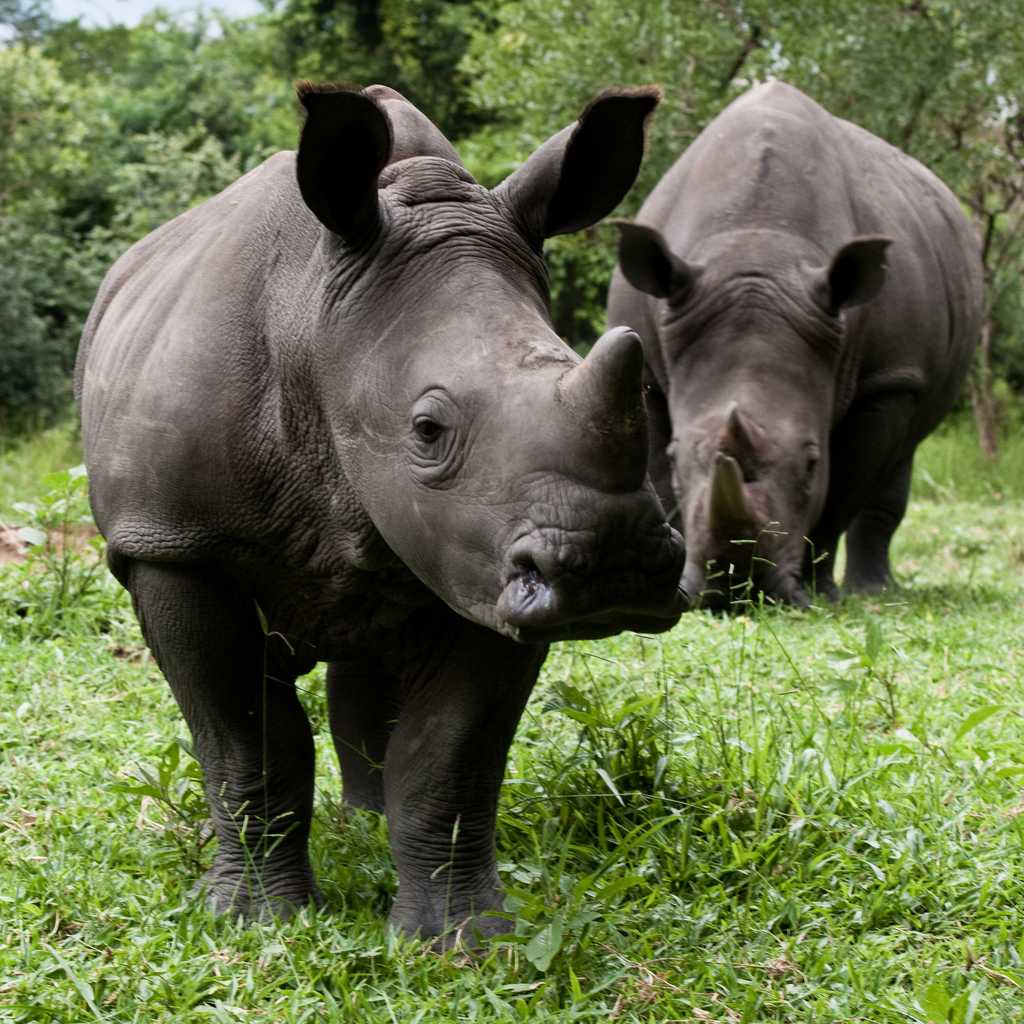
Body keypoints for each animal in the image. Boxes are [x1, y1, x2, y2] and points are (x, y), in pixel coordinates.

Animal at [75, 83, 686, 945]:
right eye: (426, 430)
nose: (614, 566)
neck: (316, 323)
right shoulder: (173, 542)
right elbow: (245, 741)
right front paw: (255, 923)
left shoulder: (482, 557)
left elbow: (449, 760)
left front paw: (461, 942)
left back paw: (362, 828)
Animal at [608, 81, 982, 608]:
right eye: (679, 458)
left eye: (810, 463)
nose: (736, 591)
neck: (757, 244)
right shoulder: (646, 373)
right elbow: (659, 480)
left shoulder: (885, 378)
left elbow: (842, 489)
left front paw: (820, 593)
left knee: (903, 451)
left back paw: (874, 591)